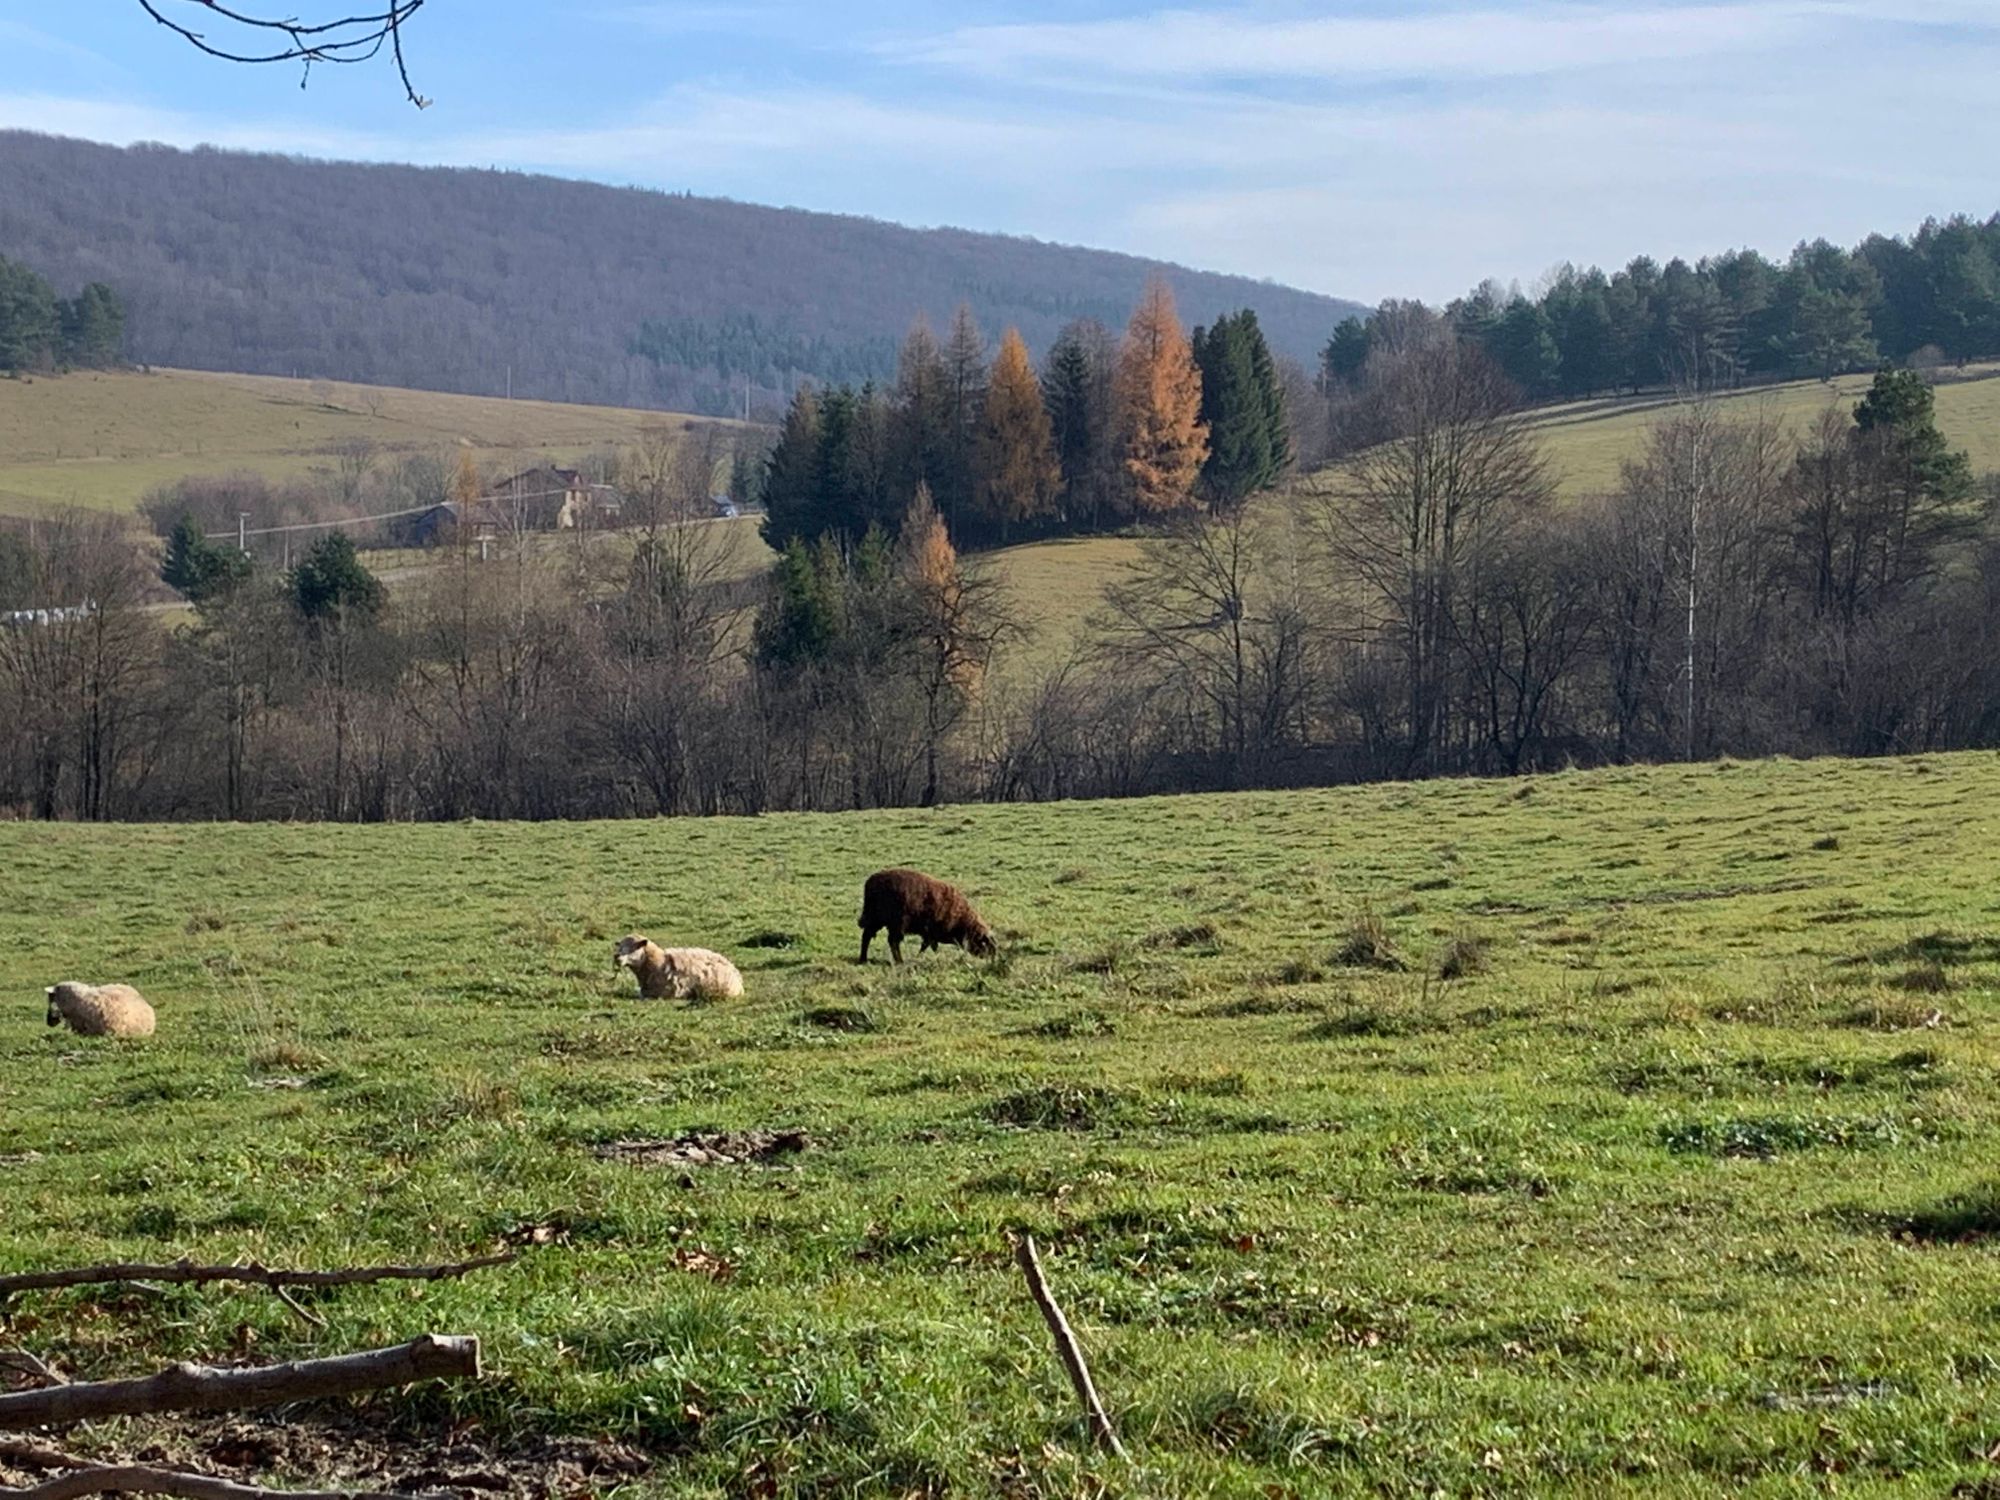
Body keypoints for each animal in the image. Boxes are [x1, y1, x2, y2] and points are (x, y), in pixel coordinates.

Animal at [856, 868, 996, 964]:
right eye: (984, 943)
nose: (991, 957)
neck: (962, 917)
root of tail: (871, 882)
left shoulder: (929, 935)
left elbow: (928, 946)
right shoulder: (929, 933)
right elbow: (927, 946)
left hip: (877, 921)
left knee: (867, 936)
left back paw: (864, 959)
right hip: (893, 925)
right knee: (891, 941)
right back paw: (899, 961)